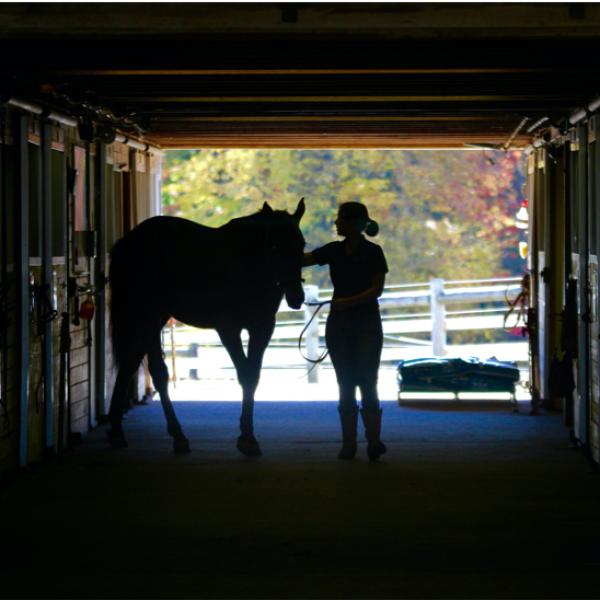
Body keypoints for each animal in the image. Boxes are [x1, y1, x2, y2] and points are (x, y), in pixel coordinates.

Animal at [105, 198, 308, 454]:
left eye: (301, 245)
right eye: (274, 246)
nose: (296, 297)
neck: (246, 264)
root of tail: (128, 242)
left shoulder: (261, 328)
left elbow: (253, 375)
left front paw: (247, 434)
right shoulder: (228, 329)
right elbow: (245, 375)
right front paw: (247, 438)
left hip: (155, 318)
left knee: (134, 364)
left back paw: (127, 432)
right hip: (147, 316)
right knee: (153, 371)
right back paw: (164, 434)